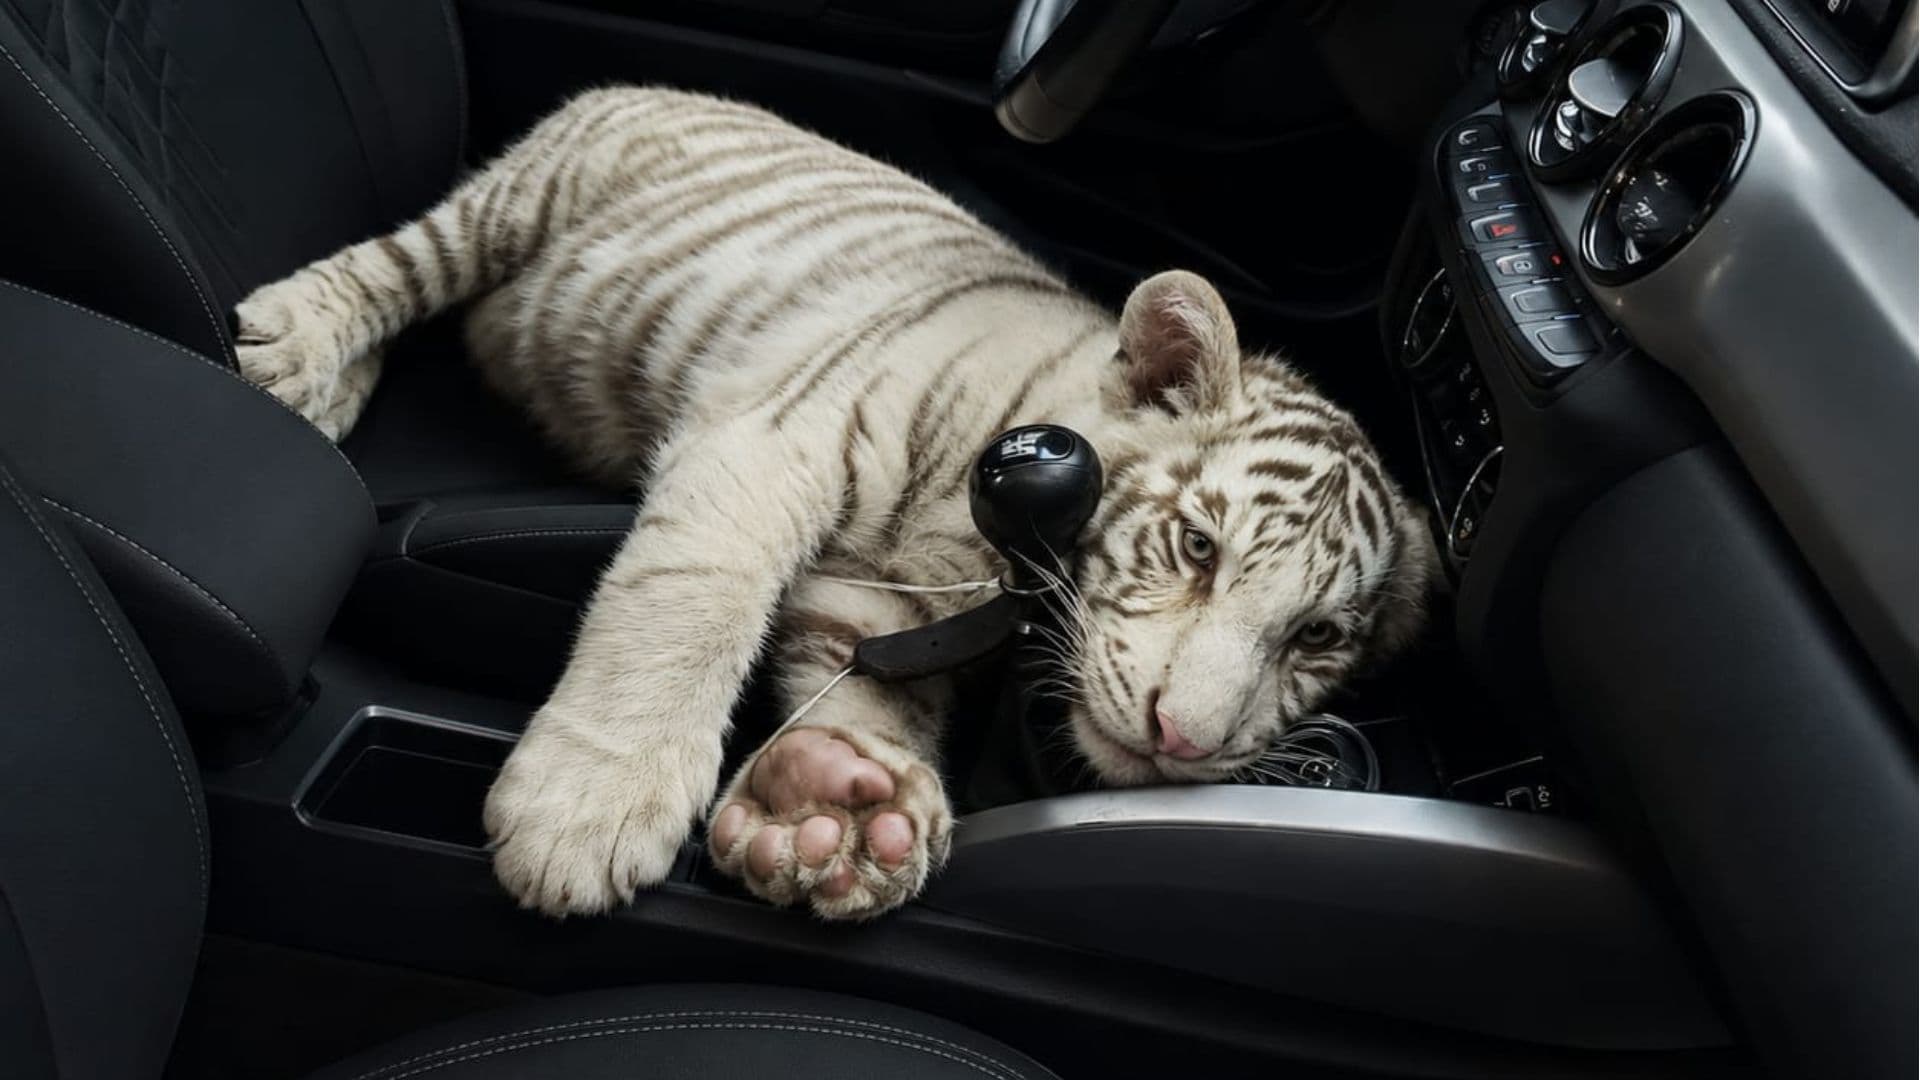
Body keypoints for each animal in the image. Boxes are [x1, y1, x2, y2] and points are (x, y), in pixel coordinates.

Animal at [233, 86, 1439, 921]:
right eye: (1196, 547)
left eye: (1317, 638)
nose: (1183, 741)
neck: (991, 551)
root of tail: (671, 86)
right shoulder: (770, 440)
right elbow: (688, 606)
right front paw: (586, 808)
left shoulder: (884, 599)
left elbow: (868, 692)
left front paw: (837, 808)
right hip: (522, 199)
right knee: (400, 264)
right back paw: (294, 351)